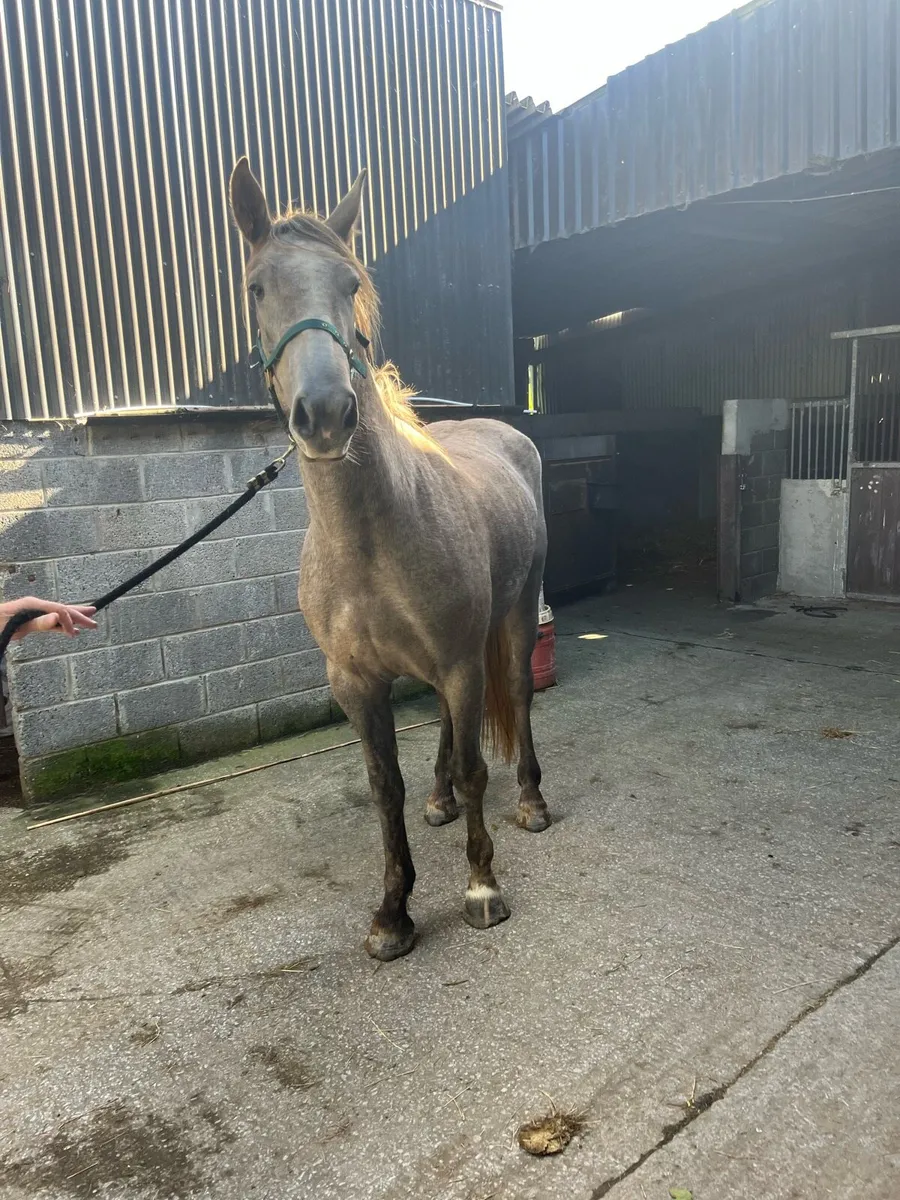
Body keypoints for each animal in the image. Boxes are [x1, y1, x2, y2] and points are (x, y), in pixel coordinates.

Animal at [230, 159, 551, 961]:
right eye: (256, 287)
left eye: (350, 283)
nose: (324, 414)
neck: (370, 542)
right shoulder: (356, 681)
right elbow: (386, 788)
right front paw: (392, 912)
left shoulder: (464, 661)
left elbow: (474, 767)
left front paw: (481, 889)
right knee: (440, 727)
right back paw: (438, 803)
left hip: (515, 610)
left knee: (517, 698)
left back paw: (532, 800)